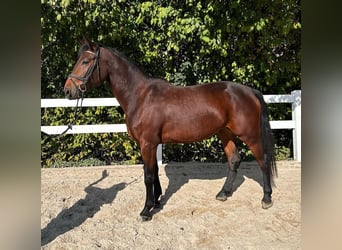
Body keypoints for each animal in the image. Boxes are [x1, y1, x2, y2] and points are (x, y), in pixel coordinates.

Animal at [63, 38, 278, 221]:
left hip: (250, 135)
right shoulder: (151, 144)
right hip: (225, 133)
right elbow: (155, 171)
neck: (140, 96)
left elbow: (148, 175)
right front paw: (157, 202)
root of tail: (249, 91)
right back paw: (223, 193)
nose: (67, 90)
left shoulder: (147, 144)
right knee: (234, 160)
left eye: (86, 61)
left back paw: (267, 198)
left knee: (263, 161)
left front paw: (146, 210)